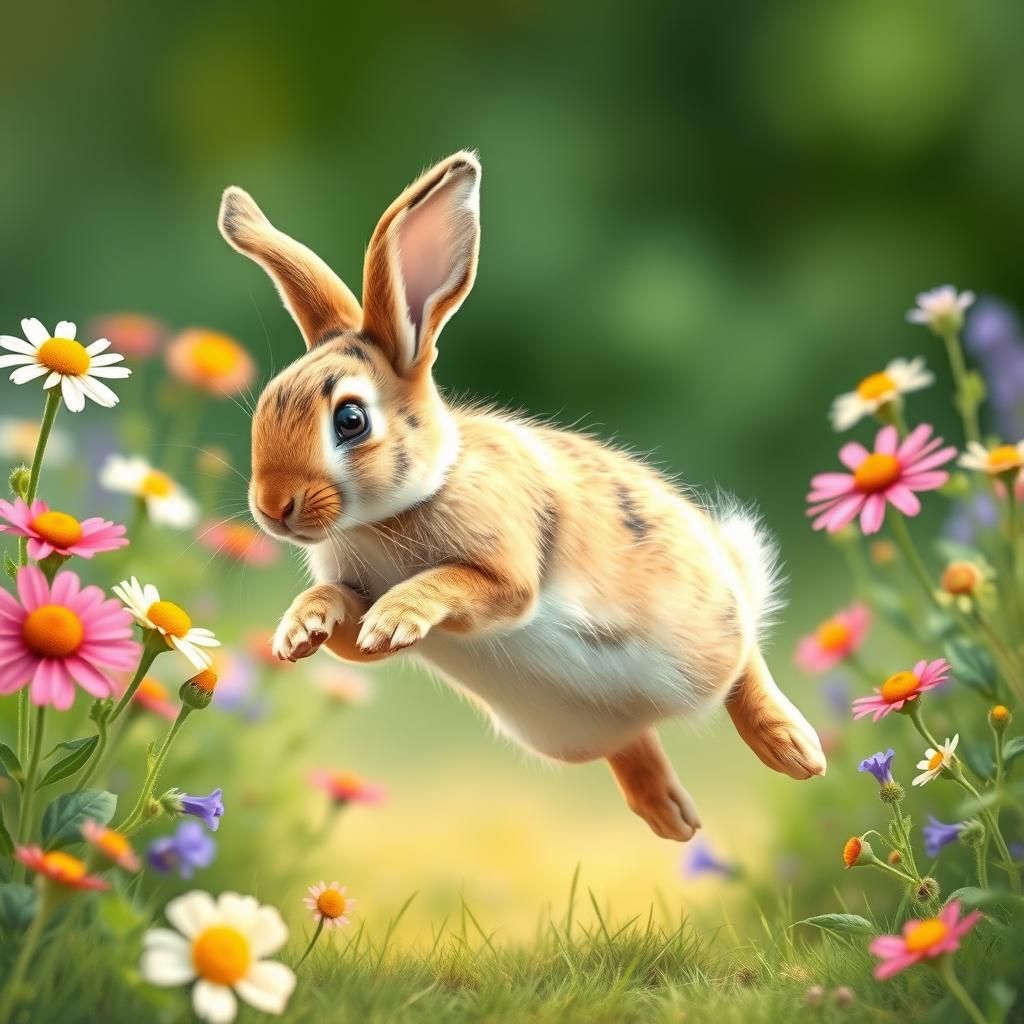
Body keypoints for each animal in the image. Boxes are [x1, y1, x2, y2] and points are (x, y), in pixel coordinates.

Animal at [218, 151, 826, 842]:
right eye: (267, 405)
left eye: (350, 420)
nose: (272, 507)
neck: (395, 511)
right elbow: (346, 626)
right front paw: (302, 630)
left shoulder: (507, 569)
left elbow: (464, 585)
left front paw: (397, 615)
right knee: (633, 743)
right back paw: (671, 818)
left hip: (704, 631)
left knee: (744, 665)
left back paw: (795, 751)